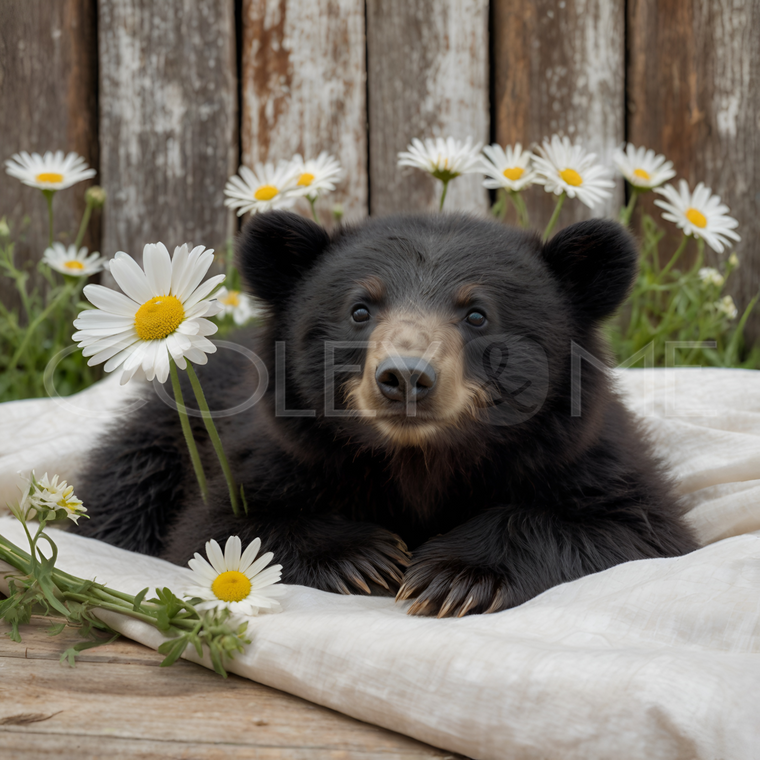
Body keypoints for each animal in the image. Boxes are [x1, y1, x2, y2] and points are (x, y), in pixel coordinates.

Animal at [74, 210, 698, 617]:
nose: (405, 378)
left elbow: (633, 527)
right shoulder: (275, 448)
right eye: (360, 309)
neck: (418, 457)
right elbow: (219, 525)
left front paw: (453, 576)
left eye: (477, 314)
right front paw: (362, 557)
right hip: (164, 434)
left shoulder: (577, 452)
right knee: (124, 489)